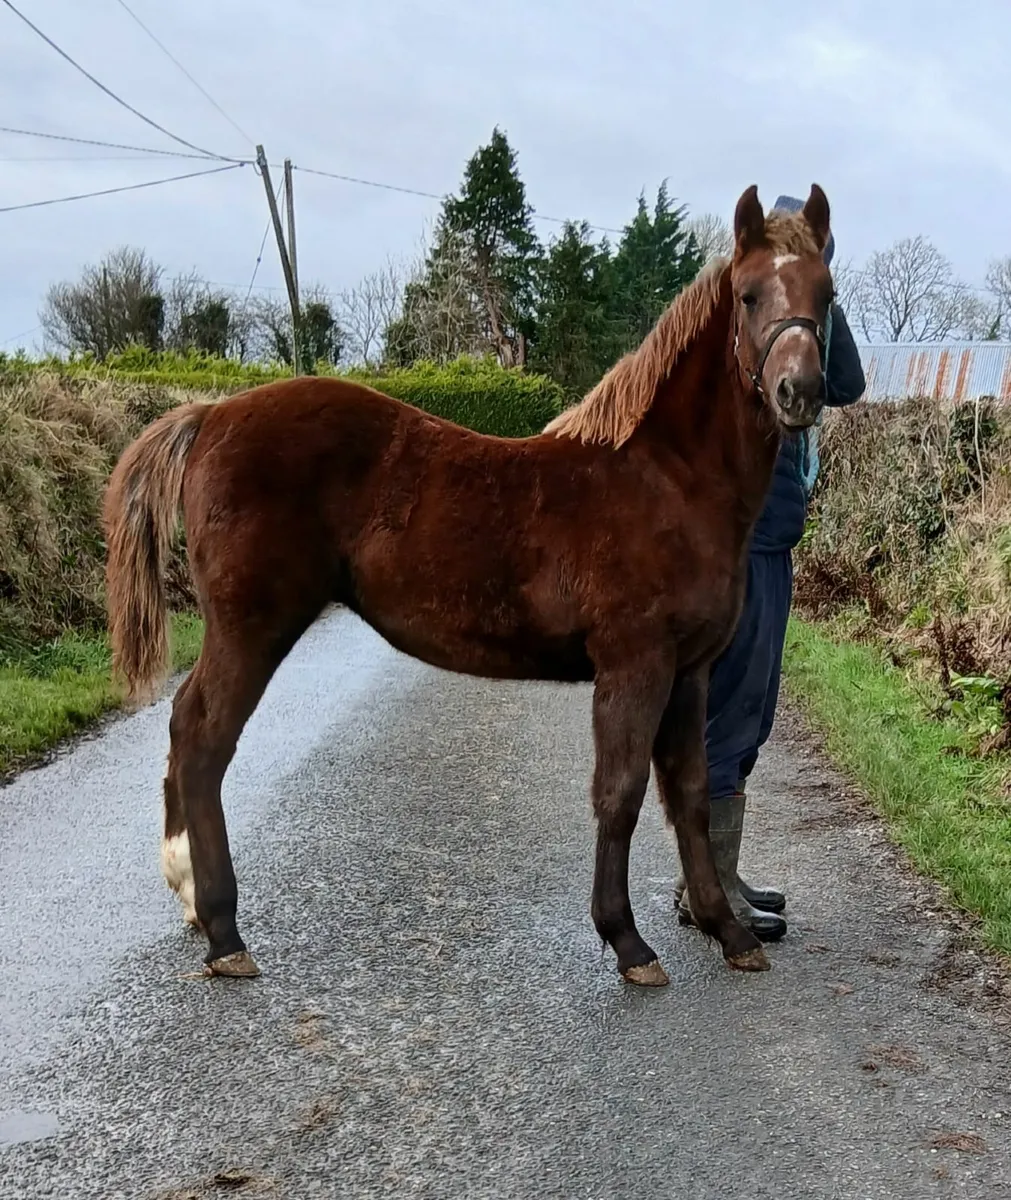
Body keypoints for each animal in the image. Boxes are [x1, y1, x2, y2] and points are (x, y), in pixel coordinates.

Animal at [103, 183, 835, 987]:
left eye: (826, 293)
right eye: (748, 293)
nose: (799, 390)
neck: (666, 479)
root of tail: (210, 415)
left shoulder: (691, 670)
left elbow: (694, 793)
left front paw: (725, 930)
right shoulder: (634, 662)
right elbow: (620, 794)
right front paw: (628, 942)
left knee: (185, 727)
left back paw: (190, 897)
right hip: (252, 625)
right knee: (202, 738)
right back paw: (223, 930)